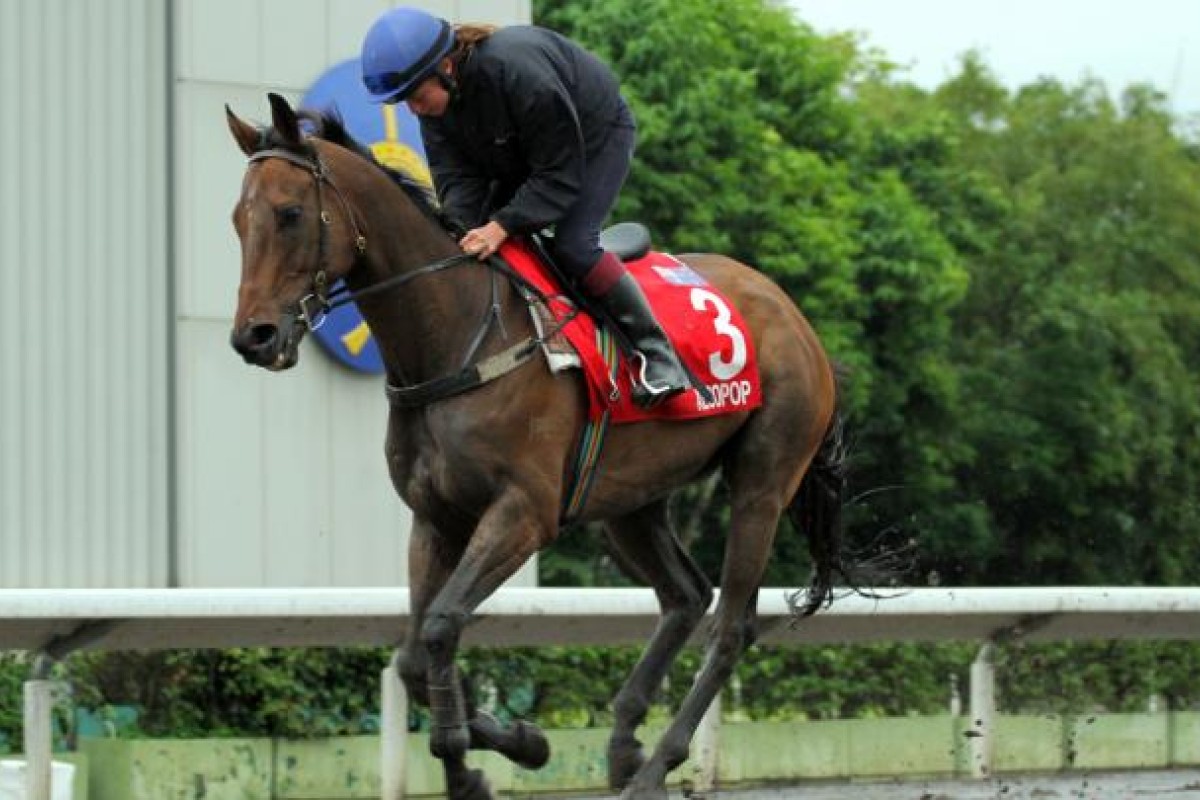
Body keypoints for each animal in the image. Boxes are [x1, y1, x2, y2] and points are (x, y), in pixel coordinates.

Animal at [225, 95, 854, 800]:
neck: (458, 336)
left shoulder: (523, 513)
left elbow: (442, 625)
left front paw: (476, 756)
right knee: (687, 595)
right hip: (631, 500)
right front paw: (501, 744)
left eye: (290, 213)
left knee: (731, 626)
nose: (254, 336)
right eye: (237, 220)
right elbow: (414, 654)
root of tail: (794, 316)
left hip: (763, 482)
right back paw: (624, 745)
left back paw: (654, 766)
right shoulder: (435, 519)